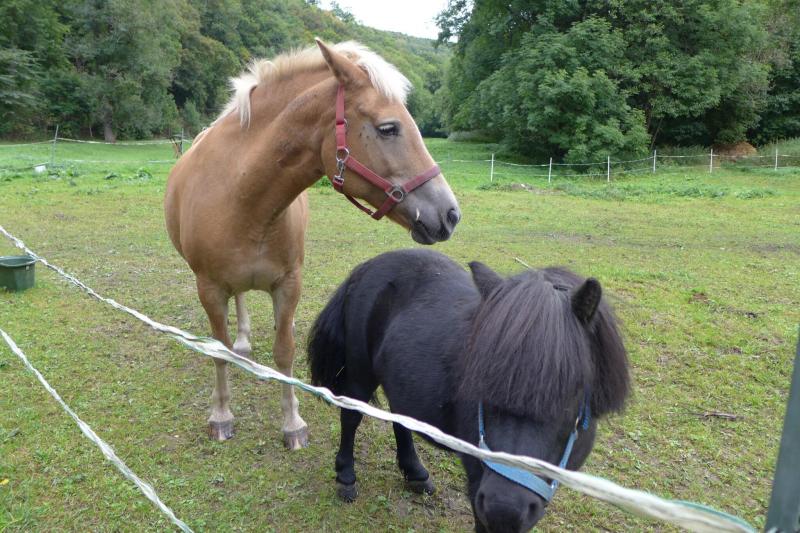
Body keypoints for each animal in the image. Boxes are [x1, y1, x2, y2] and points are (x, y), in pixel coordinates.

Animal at [164, 40, 460, 448]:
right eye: (388, 128)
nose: (450, 213)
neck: (241, 199)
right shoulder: (209, 288)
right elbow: (219, 352)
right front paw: (221, 415)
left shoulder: (289, 284)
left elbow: (284, 352)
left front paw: (292, 424)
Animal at [308, 249, 630, 531]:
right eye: (483, 379)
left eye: (573, 391)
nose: (505, 509)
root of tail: (368, 266)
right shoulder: (478, 478)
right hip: (360, 375)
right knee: (351, 418)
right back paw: (346, 477)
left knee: (401, 419)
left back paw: (415, 473)